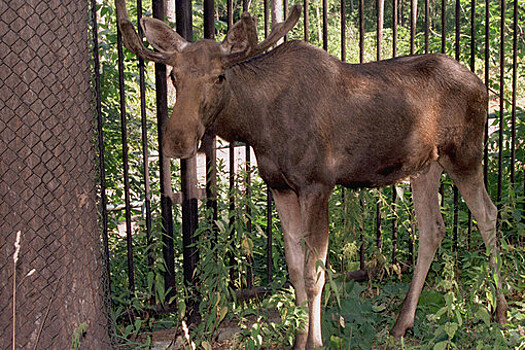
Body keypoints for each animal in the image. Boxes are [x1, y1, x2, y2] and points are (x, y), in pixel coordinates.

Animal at [115, 1, 508, 348]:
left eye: (219, 76)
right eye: (173, 75)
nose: (177, 140)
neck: (257, 127)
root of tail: (483, 86)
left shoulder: (318, 184)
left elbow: (314, 273)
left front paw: (314, 342)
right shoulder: (280, 187)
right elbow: (293, 270)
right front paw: (297, 338)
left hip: (465, 153)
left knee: (489, 215)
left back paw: (500, 312)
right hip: (424, 165)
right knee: (432, 229)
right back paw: (401, 324)